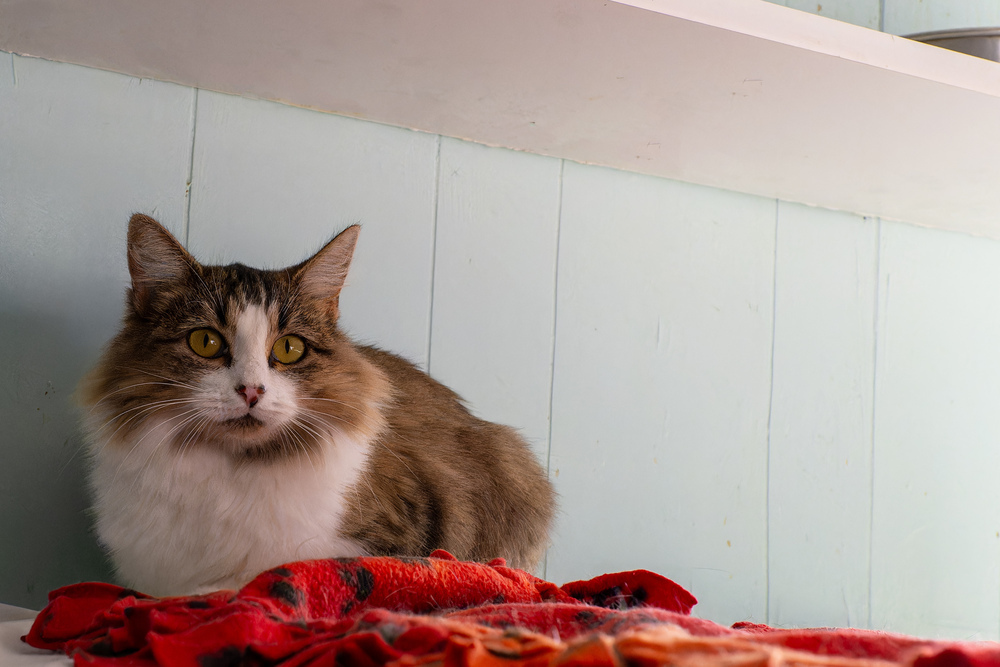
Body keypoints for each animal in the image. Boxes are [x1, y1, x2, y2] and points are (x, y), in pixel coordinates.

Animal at [80, 214, 556, 596]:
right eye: (205, 342)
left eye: (289, 348)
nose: (251, 391)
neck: (230, 469)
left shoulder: (387, 547)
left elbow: (255, 575)